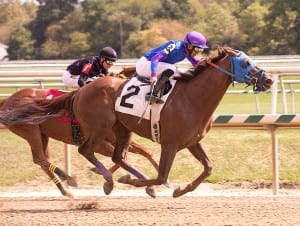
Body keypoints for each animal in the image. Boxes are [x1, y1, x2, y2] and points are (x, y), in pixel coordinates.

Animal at [0, 47, 274, 198]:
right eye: (246, 62)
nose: (269, 79)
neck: (191, 98)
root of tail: (81, 92)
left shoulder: (191, 142)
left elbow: (207, 168)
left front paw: (180, 190)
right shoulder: (170, 144)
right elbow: (161, 176)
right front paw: (133, 182)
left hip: (116, 130)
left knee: (111, 156)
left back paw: (79, 182)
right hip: (91, 129)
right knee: (78, 152)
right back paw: (97, 183)